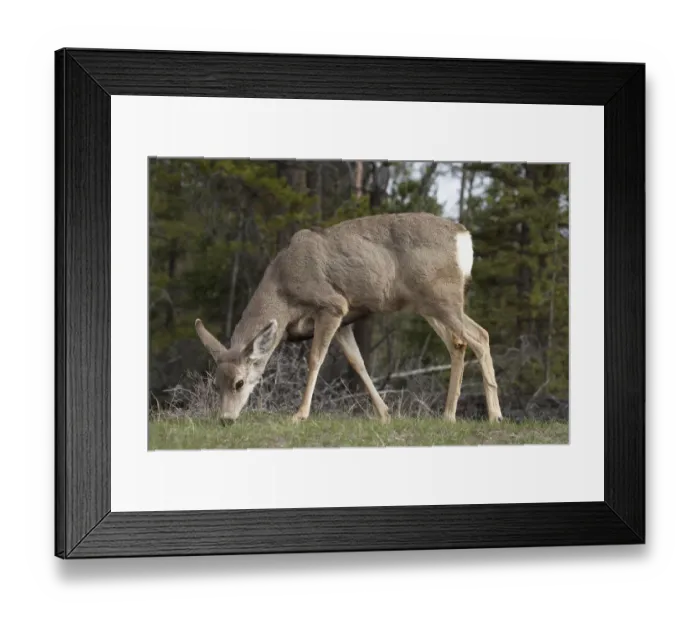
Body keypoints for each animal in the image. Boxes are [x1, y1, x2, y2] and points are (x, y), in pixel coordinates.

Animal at [194, 212, 503, 426]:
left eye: (239, 383)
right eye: (216, 384)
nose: (225, 419)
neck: (283, 291)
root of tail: (463, 237)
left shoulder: (333, 305)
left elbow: (315, 359)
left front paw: (299, 415)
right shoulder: (344, 322)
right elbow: (358, 363)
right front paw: (384, 413)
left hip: (443, 298)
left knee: (480, 336)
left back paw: (494, 415)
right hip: (428, 304)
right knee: (459, 343)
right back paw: (448, 415)